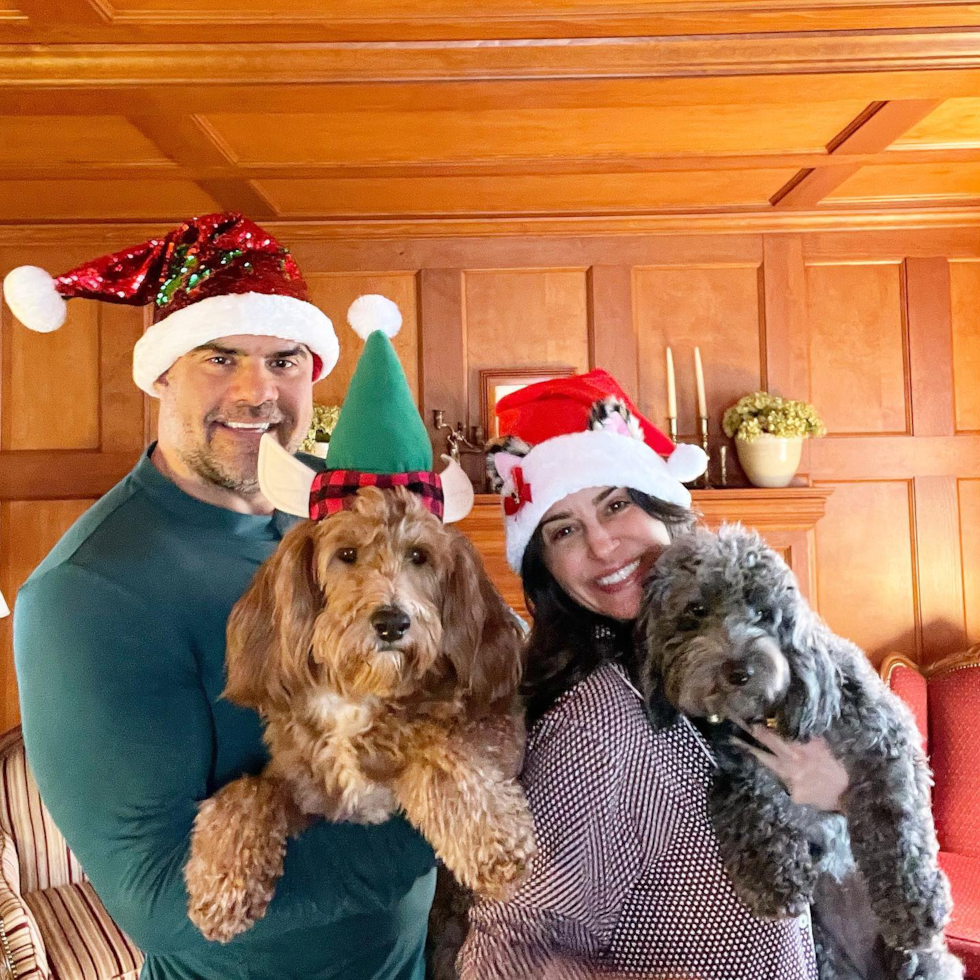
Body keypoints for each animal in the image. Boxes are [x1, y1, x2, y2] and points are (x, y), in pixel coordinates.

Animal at [184, 486, 536, 944]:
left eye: (420, 555)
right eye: (346, 553)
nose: (392, 622)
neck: (360, 694)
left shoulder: (498, 726)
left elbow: (442, 756)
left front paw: (493, 841)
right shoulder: (309, 794)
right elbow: (249, 791)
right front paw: (221, 883)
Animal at [640, 524, 960, 980]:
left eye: (763, 613)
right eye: (696, 609)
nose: (738, 670)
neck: (771, 714)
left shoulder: (889, 742)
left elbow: (895, 819)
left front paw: (913, 907)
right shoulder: (740, 769)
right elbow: (747, 805)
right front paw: (773, 876)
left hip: (924, 964)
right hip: (828, 958)